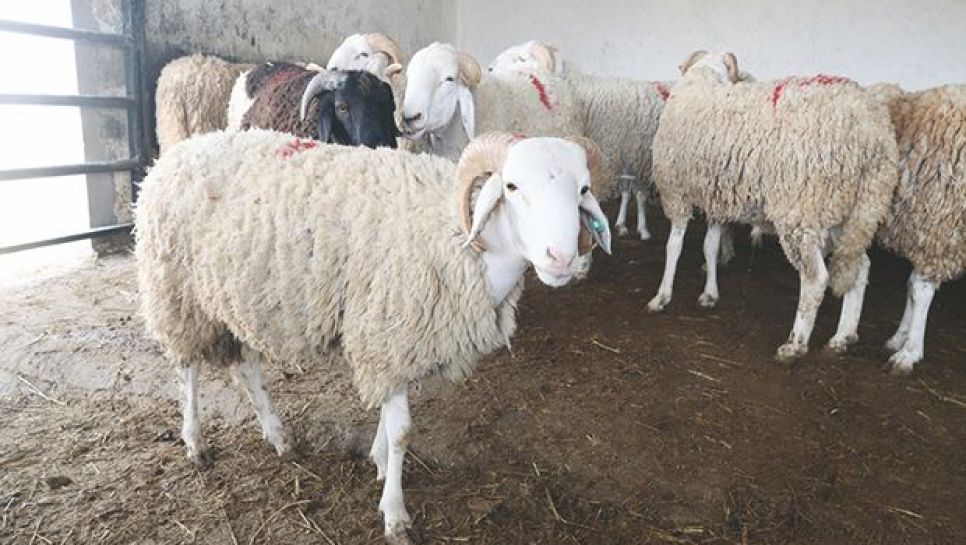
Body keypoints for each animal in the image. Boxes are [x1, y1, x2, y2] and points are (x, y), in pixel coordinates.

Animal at [134, 129, 612, 543]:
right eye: (511, 186)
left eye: (583, 190)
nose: (561, 258)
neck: (463, 241)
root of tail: (173, 154)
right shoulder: (388, 336)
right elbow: (402, 431)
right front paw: (395, 513)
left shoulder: (394, 341)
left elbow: (387, 418)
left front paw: (380, 461)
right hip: (177, 291)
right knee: (188, 368)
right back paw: (195, 442)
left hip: (240, 295)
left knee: (247, 366)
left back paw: (278, 436)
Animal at [648, 51, 898, 361]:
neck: (704, 78)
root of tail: (873, 133)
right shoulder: (718, 197)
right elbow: (710, 246)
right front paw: (710, 293)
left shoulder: (675, 192)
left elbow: (673, 247)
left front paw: (662, 296)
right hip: (852, 212)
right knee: (859, 267)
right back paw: (843, 336)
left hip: (801, 210)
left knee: (816, 279)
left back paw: (795, 344)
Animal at [873, 84, 965, 374]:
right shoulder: (924, 234)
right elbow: (912, 285)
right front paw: (900, 337)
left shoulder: (939, 232)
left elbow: (920, 291)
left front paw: (909, 352)